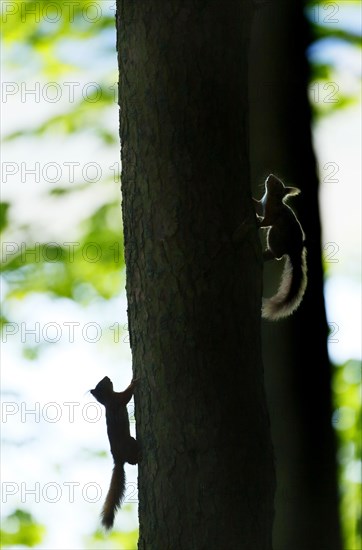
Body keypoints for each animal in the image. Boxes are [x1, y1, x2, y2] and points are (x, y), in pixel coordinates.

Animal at [90, 378, 140, 532]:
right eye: (101, 384)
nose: (107, 377)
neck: (108, 399)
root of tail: (118, 460)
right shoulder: (118, 400)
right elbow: (127, 395)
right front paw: (134, 381)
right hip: (129, 444)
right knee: (132, 459)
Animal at [253, 175, 306, 322]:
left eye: (277, 183)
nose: (270, 176)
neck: (270, 197)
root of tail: (295, 250)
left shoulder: (273, 212)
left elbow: (267, 221)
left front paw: (258, 223)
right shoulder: (262, 205)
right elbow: (257, 206)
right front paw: (251, 199)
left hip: (275, 235)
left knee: (278, 255)